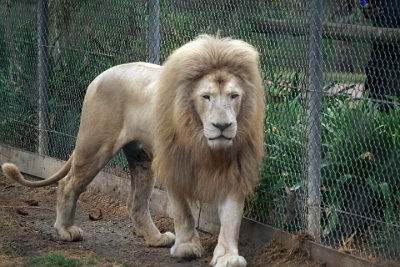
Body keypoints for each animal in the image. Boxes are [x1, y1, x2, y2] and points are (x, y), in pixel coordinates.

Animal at [3, 35, 268, 267]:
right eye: (206, 97)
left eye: (234, 96)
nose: (223, 126)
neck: (205, 142)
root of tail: (100, 75)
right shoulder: (174, 166)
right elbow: (183, 212)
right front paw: (187, 248)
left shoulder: (236, 169)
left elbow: (231, 218)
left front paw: (228, 257)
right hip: (95, 146)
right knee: (68, 184)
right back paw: (66, 231)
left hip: (141, 159)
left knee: (135, 202)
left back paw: (156, 238)